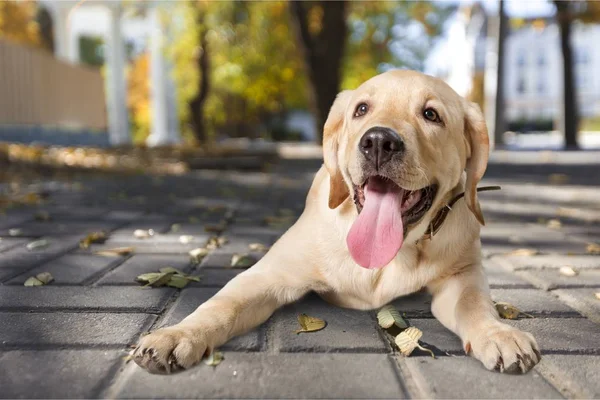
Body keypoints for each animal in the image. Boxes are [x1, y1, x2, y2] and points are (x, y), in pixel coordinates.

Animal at [134, 69, 540, 376]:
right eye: (361, 109)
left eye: (431, 115)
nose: (379, 141)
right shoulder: (268, 274)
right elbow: (221, 304)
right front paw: (179, 334)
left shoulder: (462, 277)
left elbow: (475, 305)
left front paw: (498, 333)